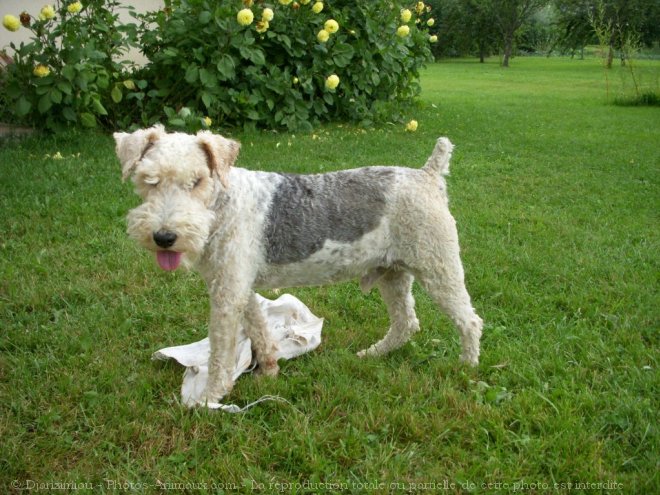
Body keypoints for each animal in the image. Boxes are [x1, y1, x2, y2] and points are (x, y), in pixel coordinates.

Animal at [116, 126, 482, 404]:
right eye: (149, 180)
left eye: (196, 181)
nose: (164, 237)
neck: (223, 203)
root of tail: (428, 174)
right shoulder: (238, 286)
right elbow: (259, 331)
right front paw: (269, 371)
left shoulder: (226, 295)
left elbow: (220, 353)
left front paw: (210, 397)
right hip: (394, 273)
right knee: (406, 323)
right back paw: (372, 354)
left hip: (439, 267)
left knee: (469, 321)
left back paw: (466, 368)